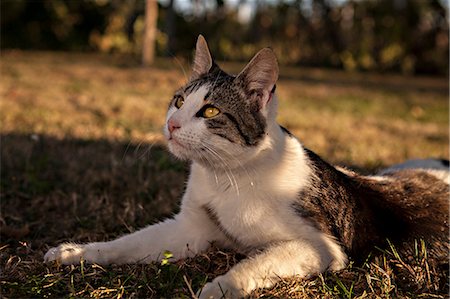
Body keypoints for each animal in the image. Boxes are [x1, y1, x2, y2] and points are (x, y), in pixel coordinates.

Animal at [44, 36, 448, 298]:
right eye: (179, 101)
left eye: (210, 111)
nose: (172, 125)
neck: (225, 176)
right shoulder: (190, 229)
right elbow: (129, 242)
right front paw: (77, 253)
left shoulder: (321, 247)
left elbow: (259, 262)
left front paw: (221, 287)